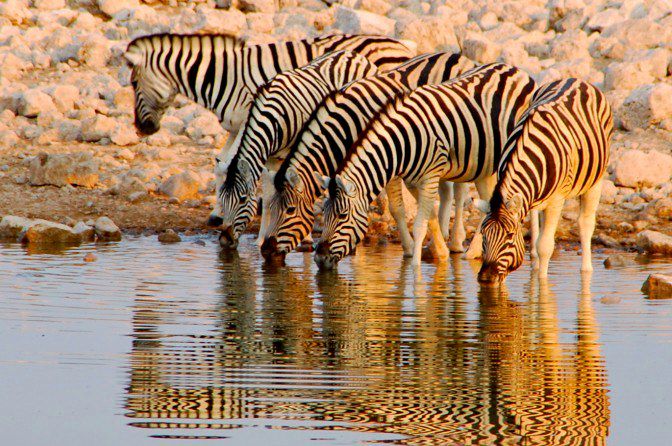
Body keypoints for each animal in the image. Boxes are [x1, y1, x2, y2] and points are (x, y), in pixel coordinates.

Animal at [123, 33, 412, 202]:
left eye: (134, 83)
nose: (140, 129)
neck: (224, 76)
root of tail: (398, 43)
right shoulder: (235, 127)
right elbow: (222, 163)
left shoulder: (247, 119)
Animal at [207, 51, 380, 251]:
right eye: (222, 197)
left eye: (242, 199)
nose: (224, 241)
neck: (272, 118)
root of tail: (354, 54)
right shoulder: (269, 159)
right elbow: (268, 198)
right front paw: (261, 239)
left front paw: (306, 238)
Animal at [258, 52, 478, 264]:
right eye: (270, 208)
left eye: (290, 210)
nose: (266, 251)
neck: (346, 125)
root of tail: (459, 56)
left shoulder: (389, 160)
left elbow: (396, 208)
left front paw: (407, 249)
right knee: (446, 191)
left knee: (461, 191)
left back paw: (458, 242)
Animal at [312, 63, 540, 270]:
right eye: (324, 213)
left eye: (342, 216)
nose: (319, 259)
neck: (404, 141)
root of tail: (516, 70)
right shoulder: (413, 181)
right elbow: (430, 217)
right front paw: (441, 252)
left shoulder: (430, 176)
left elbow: (420, 225)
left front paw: (415, 270)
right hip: (485, 165)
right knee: (487, 203)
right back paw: (473, 252)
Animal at [476, 78, 612, 284]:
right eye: (483, 235)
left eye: (509, 236)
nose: (485, 278)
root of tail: (576, 79)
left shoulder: (557, 200)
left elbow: (545, 246)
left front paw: (542, 282)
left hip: (596, 178)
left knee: (585, 224)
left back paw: (586, 270)